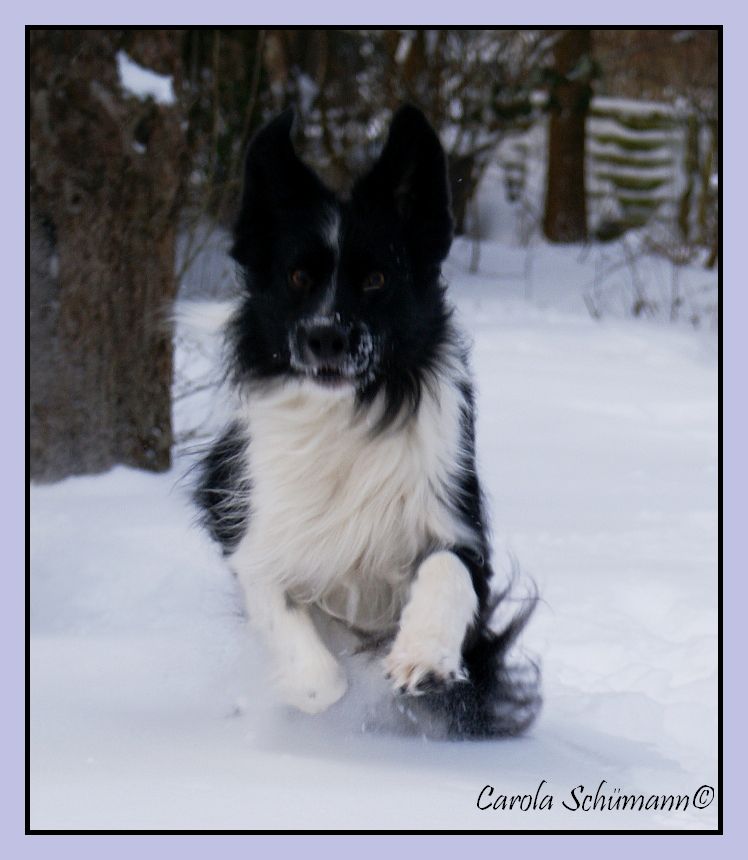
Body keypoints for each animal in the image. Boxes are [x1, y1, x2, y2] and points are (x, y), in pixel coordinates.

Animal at [196, 107, 540, 740]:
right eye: (298, 278)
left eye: (378, 280)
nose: (325, 338)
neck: (350, 414)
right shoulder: (254, 534)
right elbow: (304, 650)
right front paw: (314, 688)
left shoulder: (457, 522)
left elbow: (447, 570)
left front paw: (423, 657)